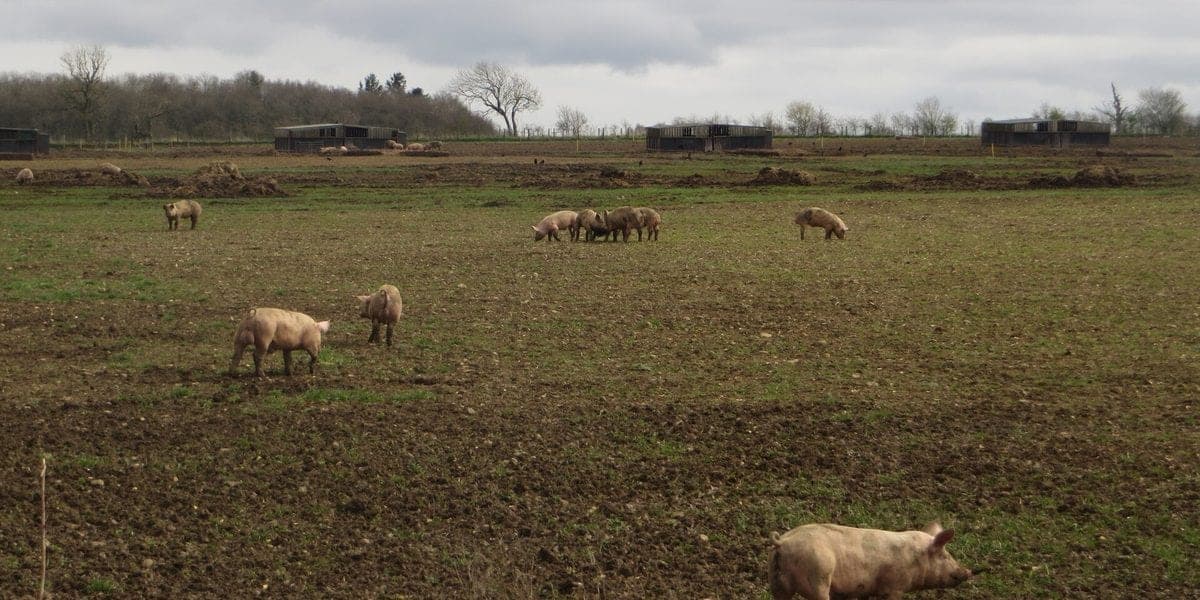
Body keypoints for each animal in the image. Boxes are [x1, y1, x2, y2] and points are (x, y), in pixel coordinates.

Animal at [768, 522, 972, 600]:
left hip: (777, 583)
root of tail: (783, 542)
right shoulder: (895, 586)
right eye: (945, 556)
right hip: (819, 577)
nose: (968, 571)